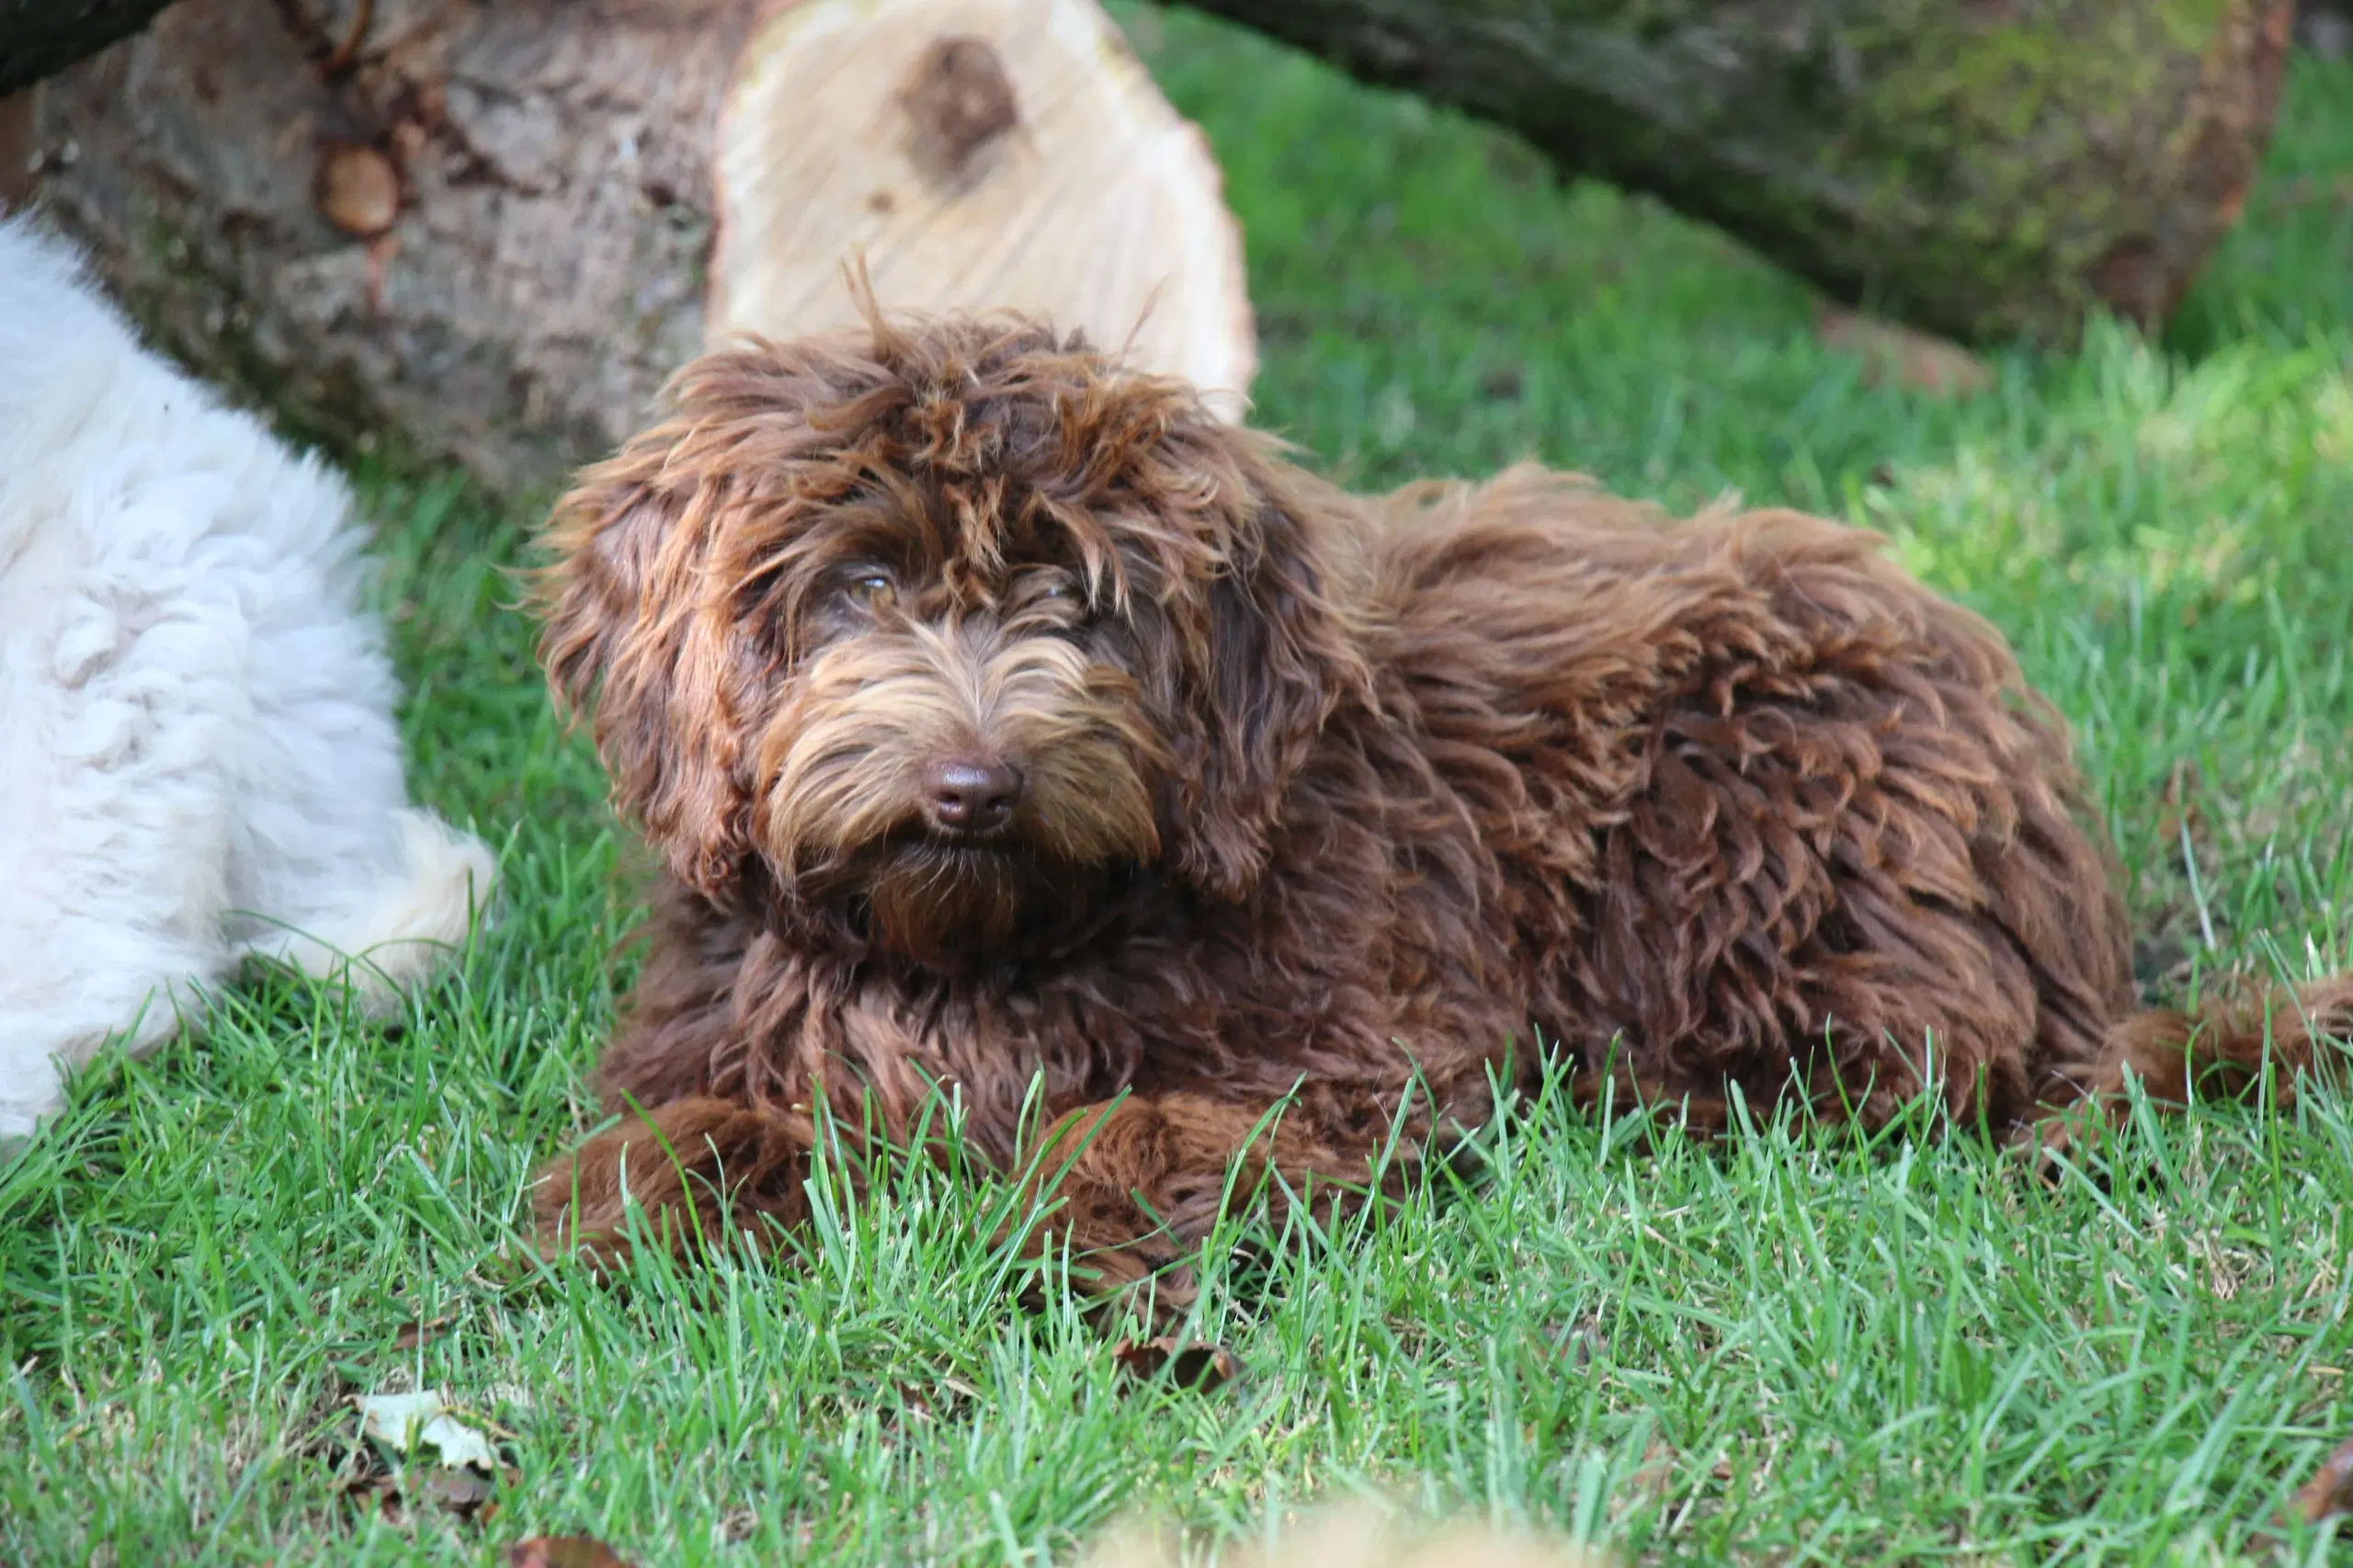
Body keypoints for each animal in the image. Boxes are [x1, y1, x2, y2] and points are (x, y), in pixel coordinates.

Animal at [534, 308, 2353, 1309]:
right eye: (857, 585)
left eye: (1080, 599)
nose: (974, 786)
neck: (987, 951)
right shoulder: (738, 1015)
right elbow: (682, 1129)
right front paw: (629, 1207)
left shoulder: (1361, 1041)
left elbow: (1145, 1123)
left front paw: (1072, 1226)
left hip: (1746, 806)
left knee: (1904, 1064)